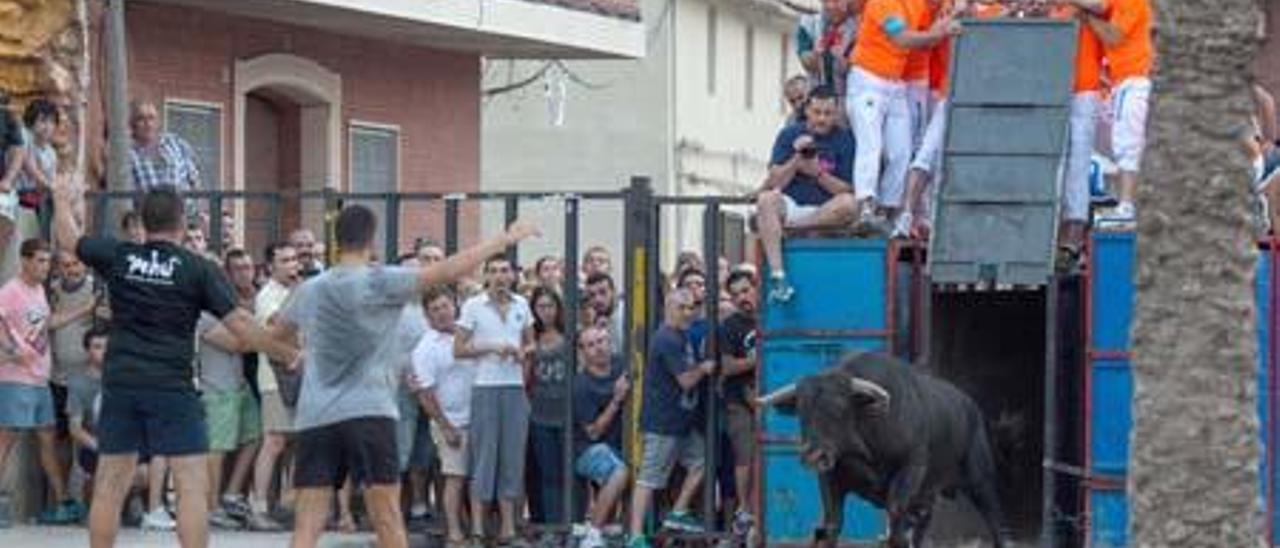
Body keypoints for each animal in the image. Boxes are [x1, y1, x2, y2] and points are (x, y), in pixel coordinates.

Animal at [752, 353, 1003, 545]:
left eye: (839, 408)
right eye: (801, 410)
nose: (813, 456)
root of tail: (970, 406)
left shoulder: (911, 467)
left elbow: (896, 519)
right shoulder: (829, 478)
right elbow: (832, 524)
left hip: (981, 482)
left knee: (994, 522)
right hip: (928, 495)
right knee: (922, 525)